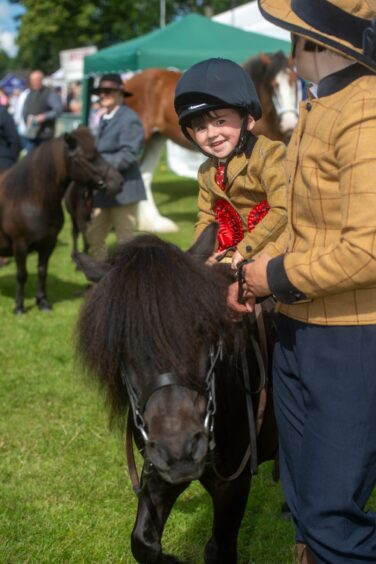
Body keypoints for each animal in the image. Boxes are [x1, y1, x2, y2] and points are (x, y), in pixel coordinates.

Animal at [0, 125, 122, 316]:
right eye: (90, 158)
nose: (119, 182)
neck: (30, 199)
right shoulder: (20, 245)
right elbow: (22, 275)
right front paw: (19, 306)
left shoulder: (49, 243)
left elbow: (42, 271)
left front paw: (42, 302)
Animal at [75, 225, 278, 564]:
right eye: (123, 346)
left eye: (202, 331)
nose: (180, 448)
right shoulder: (158, 471)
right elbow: (142, 542)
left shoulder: (232, 484)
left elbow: (219, 550)